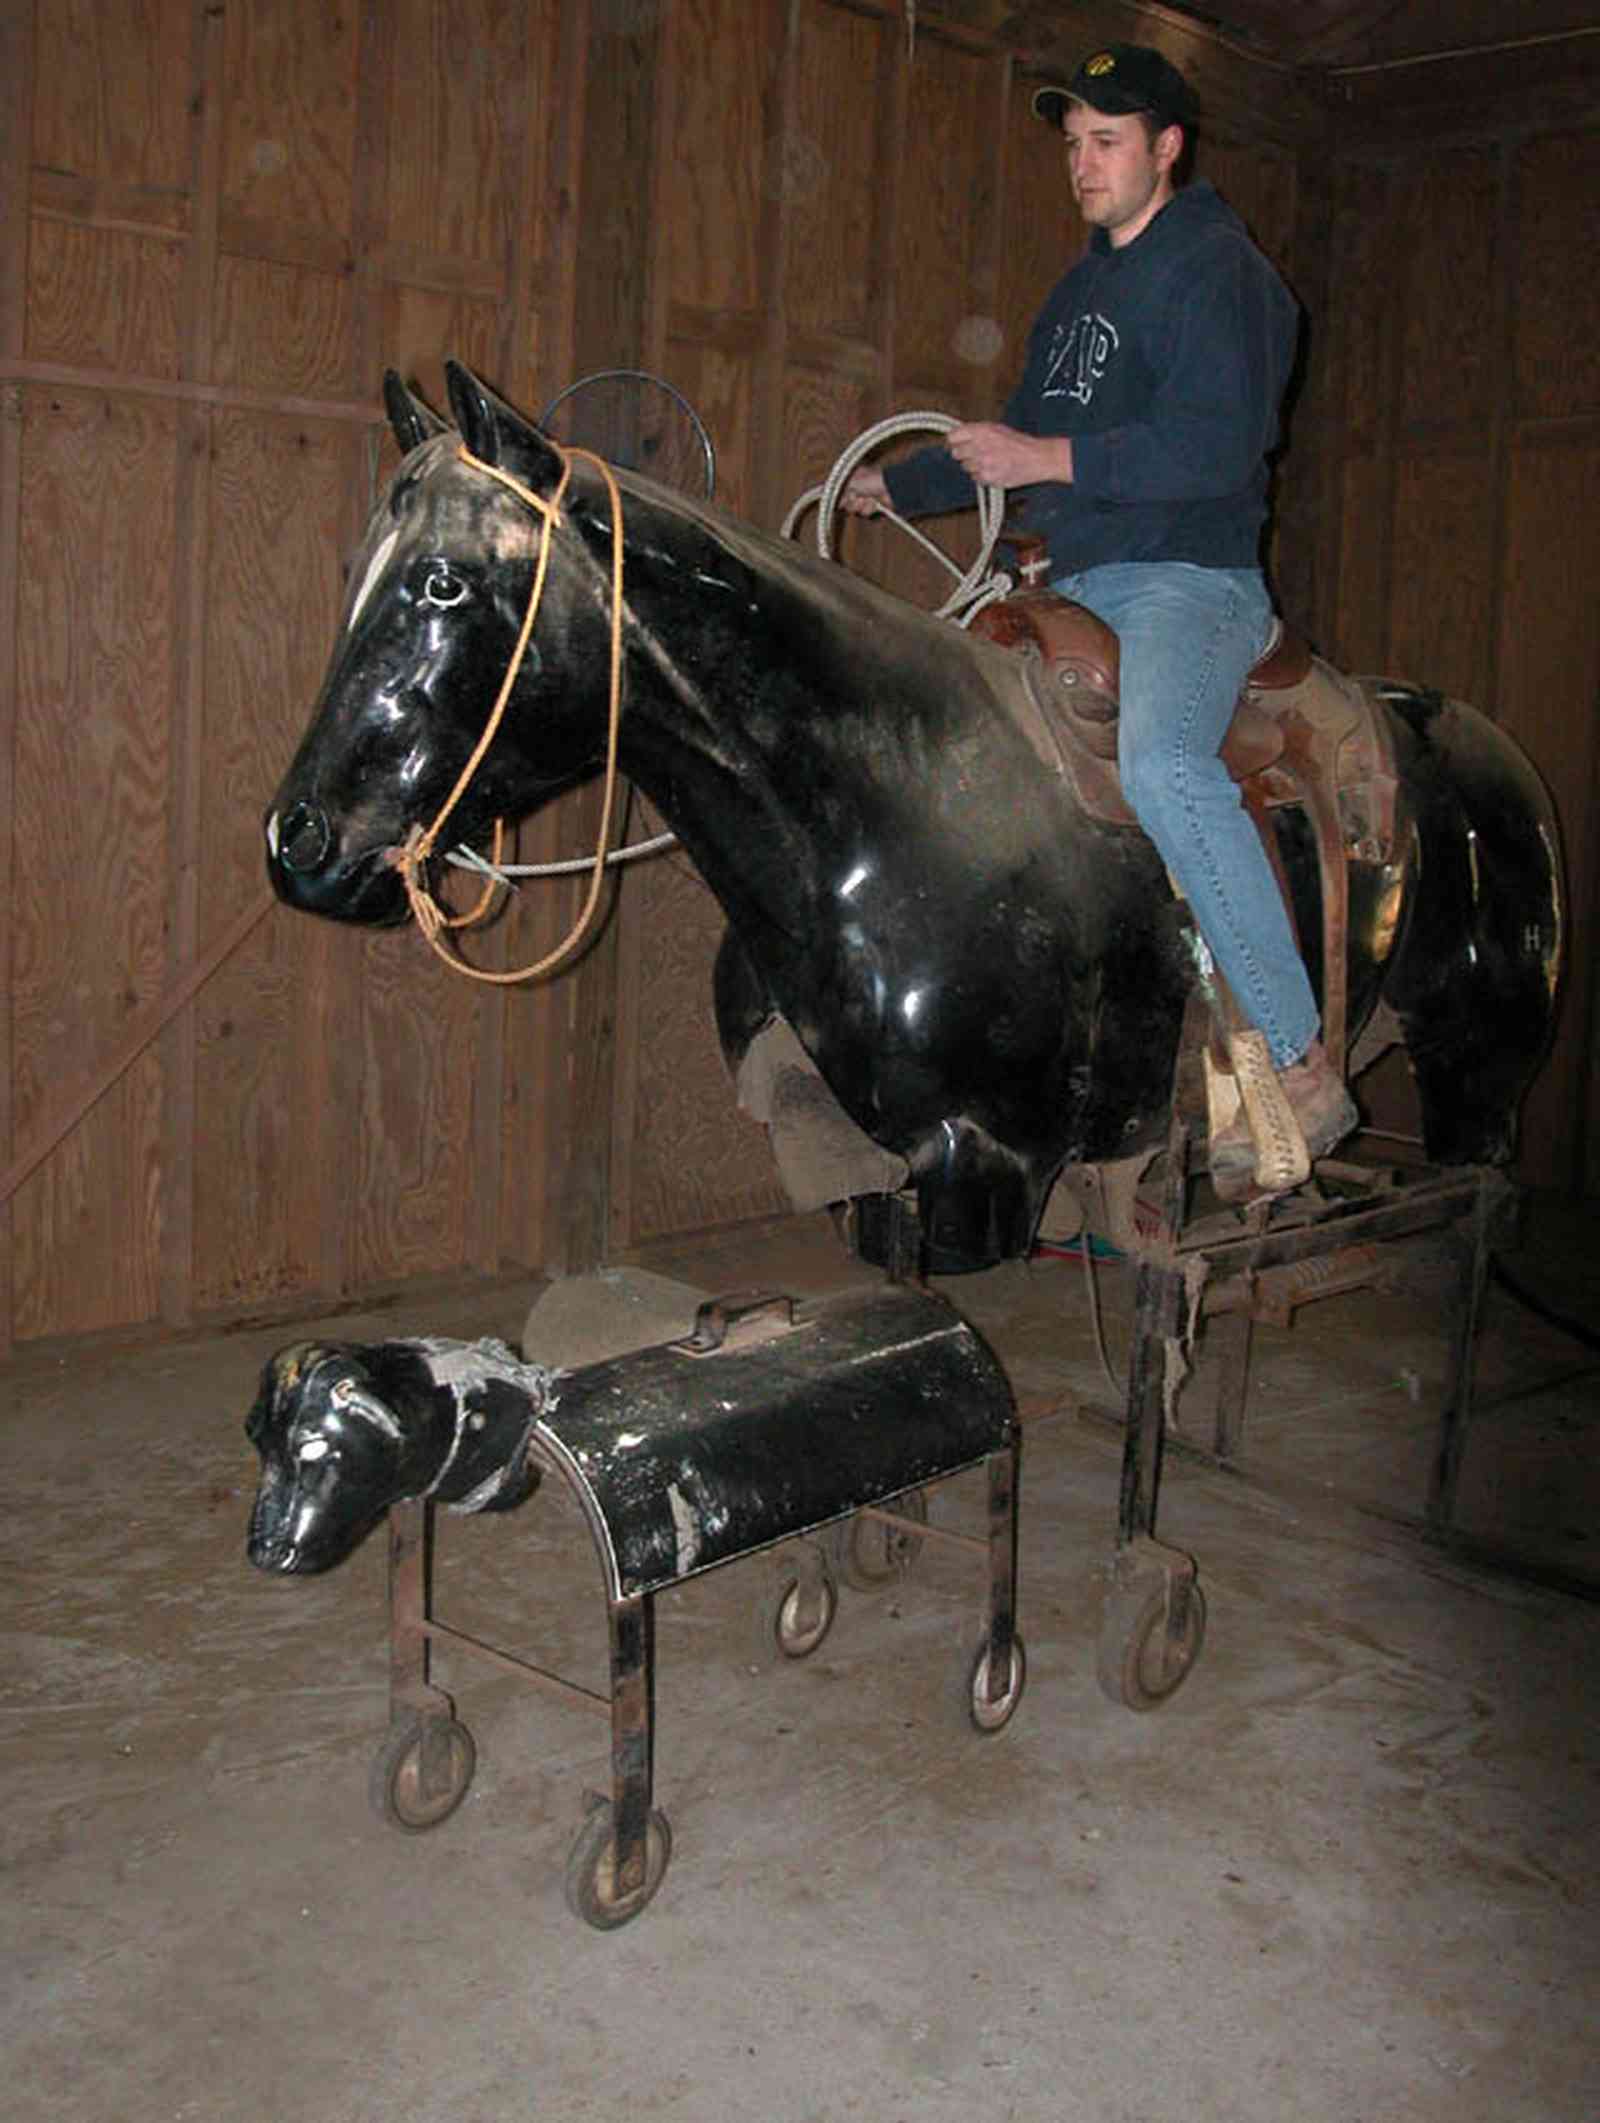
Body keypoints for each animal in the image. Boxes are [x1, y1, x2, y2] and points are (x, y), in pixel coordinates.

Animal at [263, 361, 1563, 1273]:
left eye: (444, 580)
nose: (298, 841)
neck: (883, 802)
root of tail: (1501, 763)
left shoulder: (980, 1163)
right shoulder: (850, 1156)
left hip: (1480, 1072)